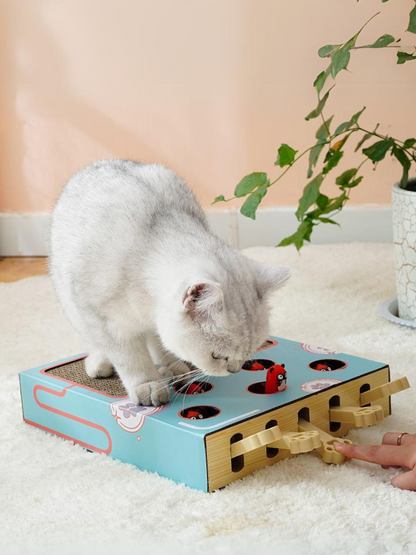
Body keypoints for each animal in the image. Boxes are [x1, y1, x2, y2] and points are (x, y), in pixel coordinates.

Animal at [49, 161, 290, 408]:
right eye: (216, 356)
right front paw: (148, 384)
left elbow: (162, 343)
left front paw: (170, 366)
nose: (233, 370)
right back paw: (99, 363)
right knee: (93, 341)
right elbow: (130, 358)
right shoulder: (104, 320)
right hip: (71, 304)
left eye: (249, 352)